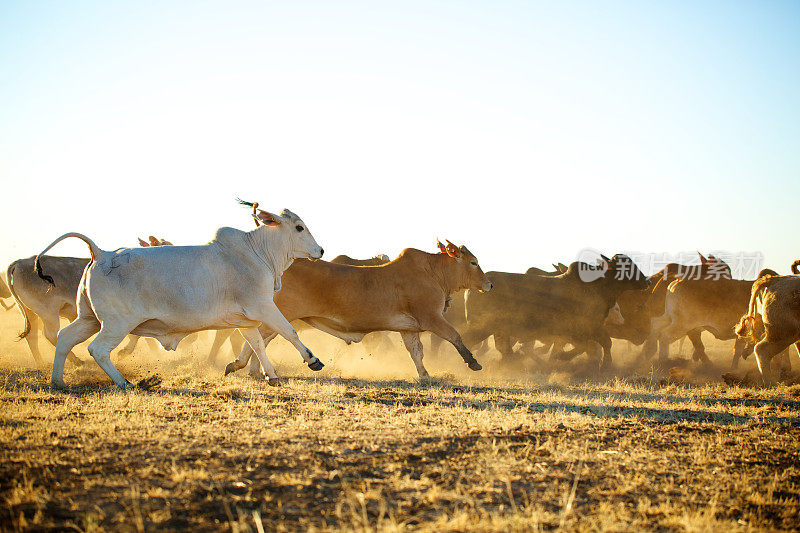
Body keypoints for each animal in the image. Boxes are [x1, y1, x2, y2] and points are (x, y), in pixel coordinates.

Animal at [36, 203, 324, 386]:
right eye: (299, 227)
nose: (320, 250)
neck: (258, 252)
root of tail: (102, 253)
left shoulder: (244, 320)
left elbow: (256, 344)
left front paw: (269, 375)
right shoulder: (262, 307)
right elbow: (289, 332)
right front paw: (312, 360)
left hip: (89, 319)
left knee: (64, 338)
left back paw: (58, 382)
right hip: (116, 324)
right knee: (98, 349)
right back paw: (125, 383)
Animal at [222, 241, 490, 378]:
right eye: (473, 262)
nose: (489, 284)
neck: (432, 272)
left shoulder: (409, 329)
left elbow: (416, 353)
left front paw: (424, 376)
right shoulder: (432, 318)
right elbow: (455, 336)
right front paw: (473, 362)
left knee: (258, 339)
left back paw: (250, 369)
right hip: (282, 315)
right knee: (258, 338)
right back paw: (246, 366)